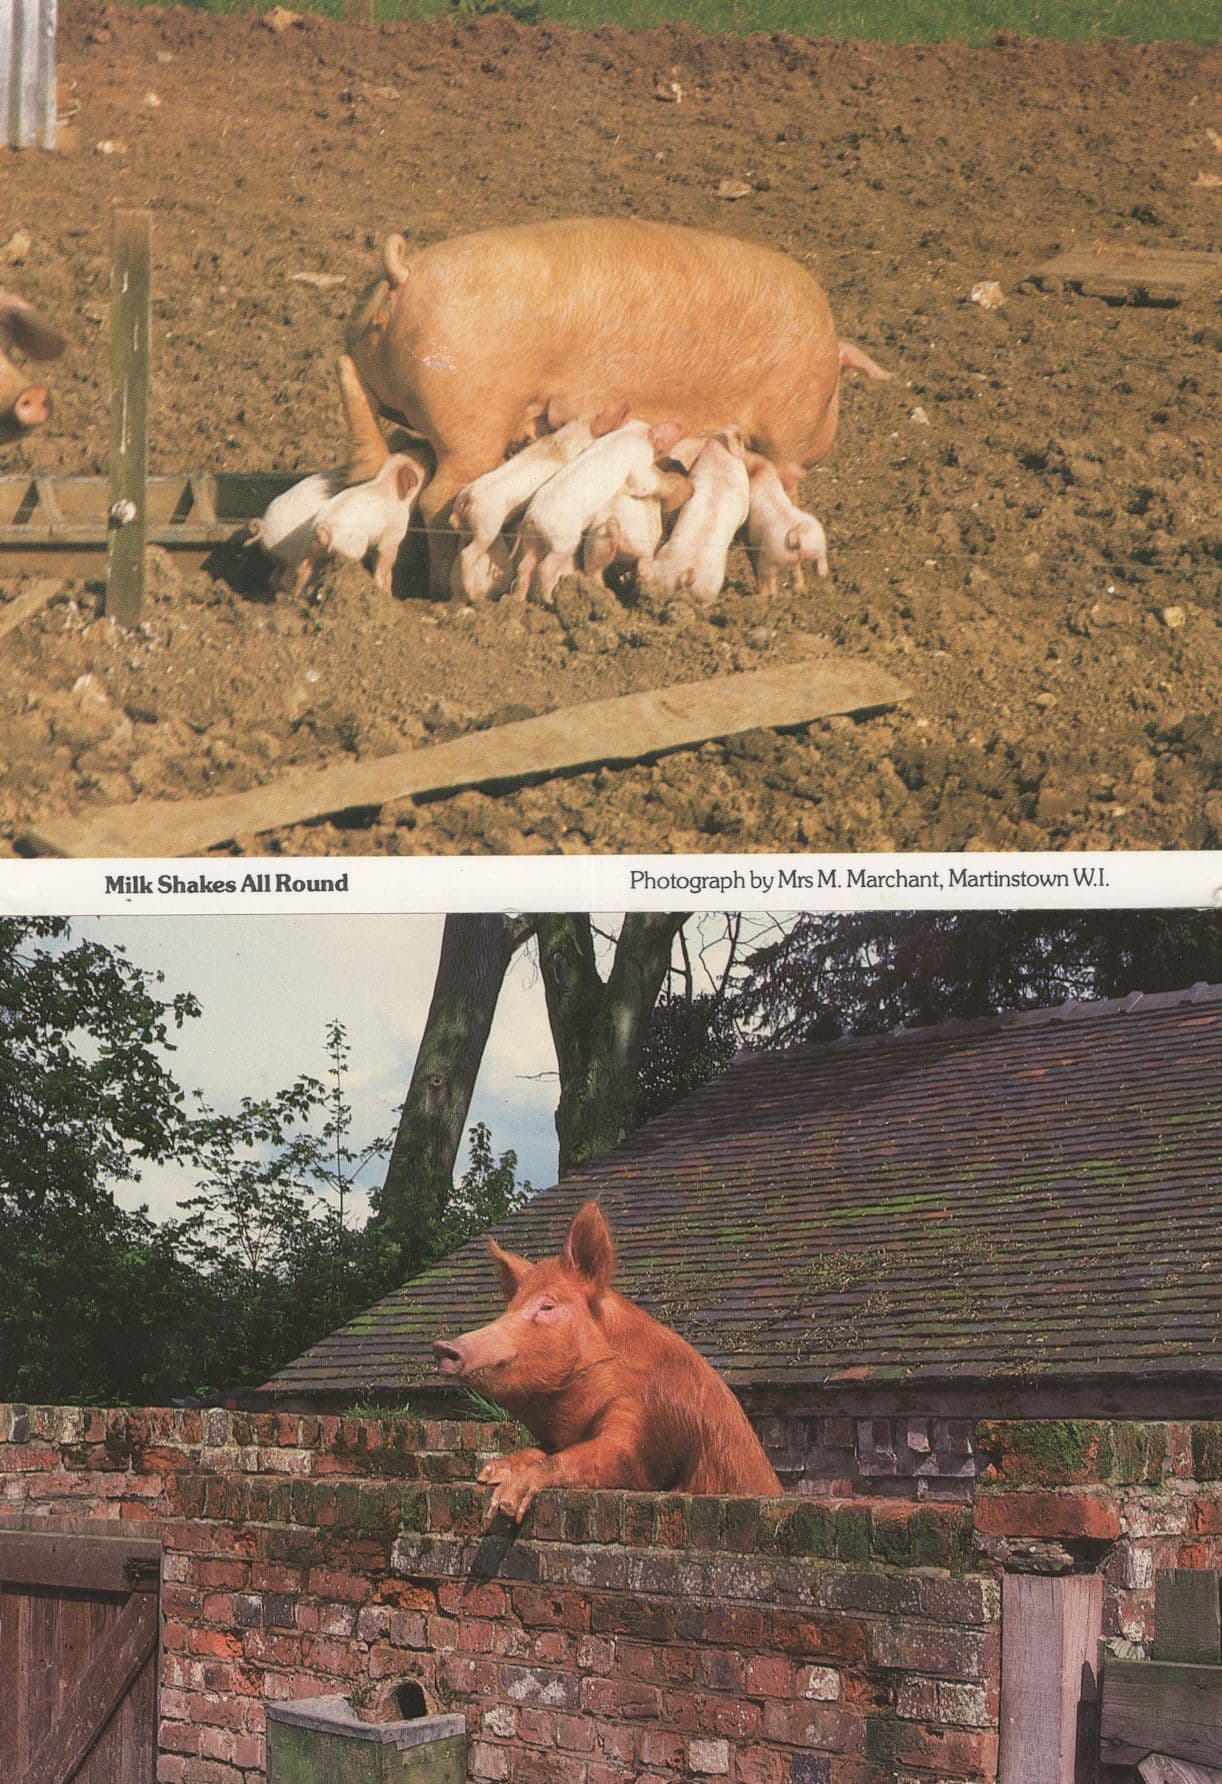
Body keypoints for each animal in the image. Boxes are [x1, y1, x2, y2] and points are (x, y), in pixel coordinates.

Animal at [432, 1201, 782, 1523]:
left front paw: (503, 1504)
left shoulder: (642, 1427)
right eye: (508, 1309)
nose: (442, 1347)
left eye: (547, 1306)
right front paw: (490, 1473)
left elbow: (589, 1456)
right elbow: (540, 1450)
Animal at [449, 402, 629, 603]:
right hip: (487, 525)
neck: (566, 441)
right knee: (468, 553)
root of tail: (467, 499)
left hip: (467, 525)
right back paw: (473, 594)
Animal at [510, 419, 683, 604]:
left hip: (532, 541)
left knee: (524, 566)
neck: (628, 433)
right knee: (544, 567)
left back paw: (519, 599)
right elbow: (643, 484)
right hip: (564, 542)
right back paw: (550, 600)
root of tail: (531, 518)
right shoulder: (639, 464)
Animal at [744, 450, 829, 596]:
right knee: (818, 565)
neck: (763, 475)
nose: (746, 453)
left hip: (771, 558)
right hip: (818, 544)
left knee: (768, 579)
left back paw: (764, 596)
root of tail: (797, 535)